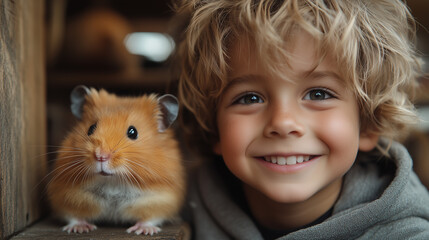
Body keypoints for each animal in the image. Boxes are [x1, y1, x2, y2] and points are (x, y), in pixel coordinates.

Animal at [46, 85, 186, 235]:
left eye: (133, 132)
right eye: (91, 128)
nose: (101, 156)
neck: (112, 182)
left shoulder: (161, 199)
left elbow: (150, 217)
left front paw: (143, 231)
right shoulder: (65, 196)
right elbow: (73, 216)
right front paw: (80, 229)